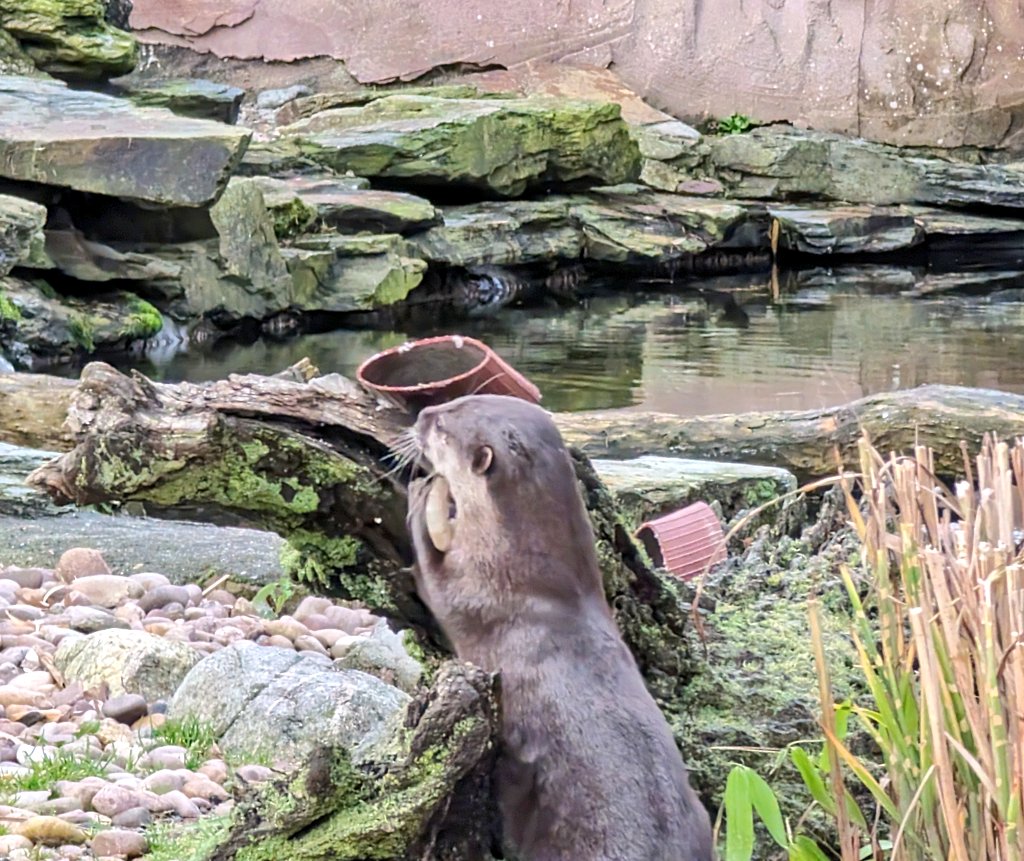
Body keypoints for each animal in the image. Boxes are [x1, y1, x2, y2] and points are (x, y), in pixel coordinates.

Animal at [405, 394, 713, 861]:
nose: (422, 415)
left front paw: (418, 498)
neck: (529, 573)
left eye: (443, 427)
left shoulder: (478, 592)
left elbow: (434, 583)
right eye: (460, 398)